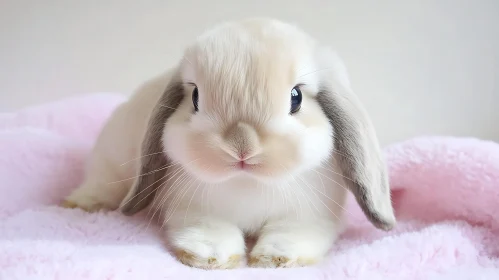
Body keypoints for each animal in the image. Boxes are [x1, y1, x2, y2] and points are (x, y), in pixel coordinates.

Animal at [60, 18, 396, 270]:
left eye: (296, 98)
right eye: (195, 97)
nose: (241, 145)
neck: (246, 183)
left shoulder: (310, 216)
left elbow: (290, 234)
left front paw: (274, 259)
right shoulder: (195, 210)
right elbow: (212, 233)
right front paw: (212, 258)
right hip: (110, 162)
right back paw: (80, 203)